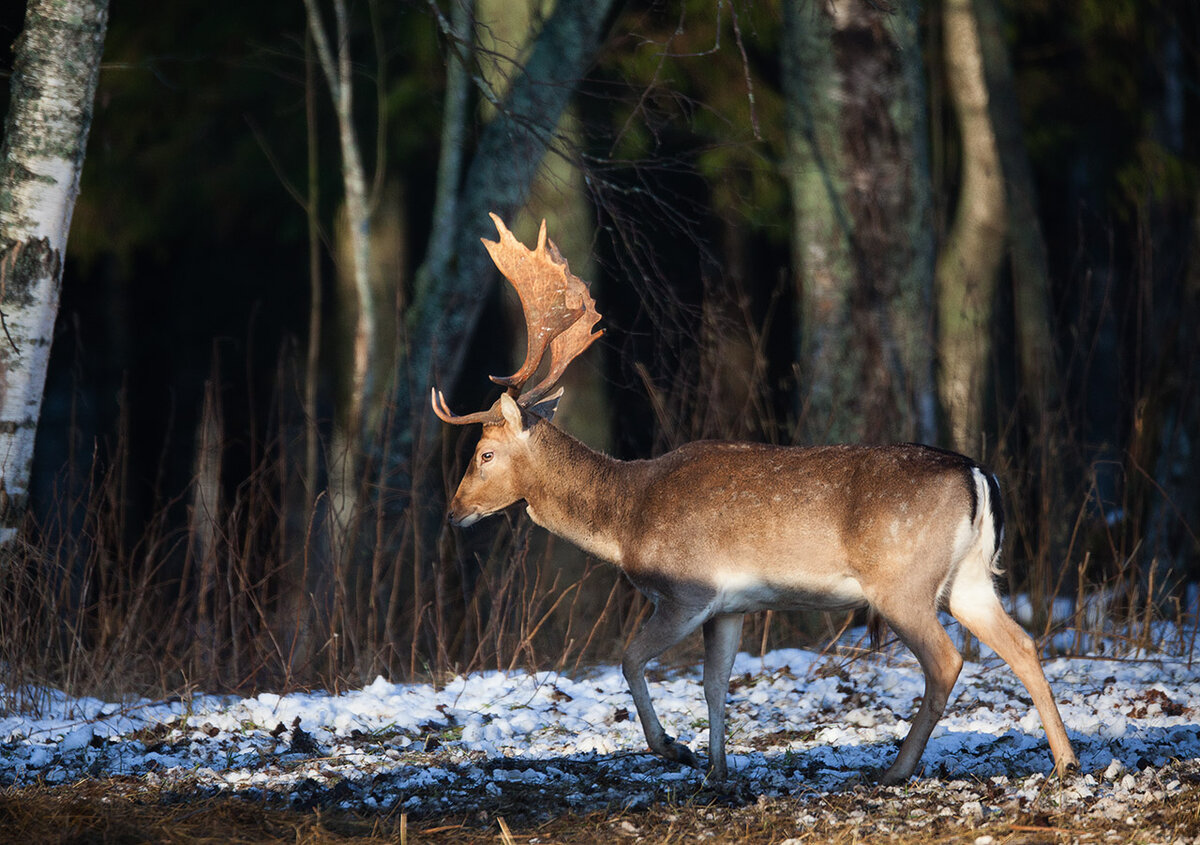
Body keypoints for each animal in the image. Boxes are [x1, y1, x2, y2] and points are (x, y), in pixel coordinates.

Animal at [432, 212, 1080, 787]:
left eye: (484, 453)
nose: (453, 511)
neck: (625, 517)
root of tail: (978, 475)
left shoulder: (686, 591)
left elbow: (632, 659)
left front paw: (674, 750)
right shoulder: (731, 606)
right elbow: (715, 684)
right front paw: (717, 772)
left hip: (901, 580)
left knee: (946, 661)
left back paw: (896, 770)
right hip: (968, 578)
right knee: (1023, 644)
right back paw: (1066, 763)